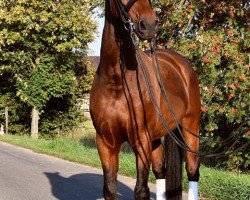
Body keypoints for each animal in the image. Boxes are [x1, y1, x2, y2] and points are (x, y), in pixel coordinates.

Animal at [90, 0, 201, 199]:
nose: (149, 25)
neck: (116, 81)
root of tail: (181, 63)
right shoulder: (105, 142)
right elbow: (109, 189)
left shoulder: (141, 140)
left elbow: (141, 190)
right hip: (157, 137)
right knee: (160, 171)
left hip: (191, 127)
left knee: (192, 170)